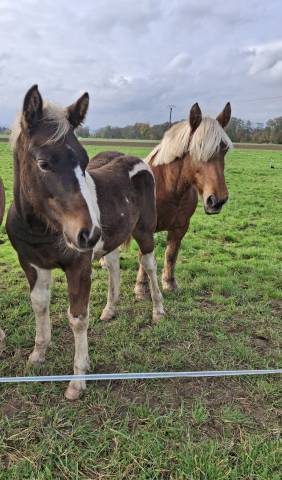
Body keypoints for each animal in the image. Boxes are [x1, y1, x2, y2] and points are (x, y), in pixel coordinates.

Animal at [6, 87, 164, 402]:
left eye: (84, 159)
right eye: (43, 163)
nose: (88, 233)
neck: (41, 227)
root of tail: (139, 161)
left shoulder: (78, 266)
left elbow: (78, 317)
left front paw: (78, 380)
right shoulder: (31, 263)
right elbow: (39, 305)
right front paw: (37, 354)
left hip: (144, 232)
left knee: (149, 264)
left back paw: (158, 311)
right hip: (111, 239)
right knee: (113, 266)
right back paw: (109, 310)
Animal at [94, 101, 231, 296]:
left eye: (225, 148)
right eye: (197, 148)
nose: (217, 200)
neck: (169, 188)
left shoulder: (180, 227)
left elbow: (171, 254)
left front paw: (169, 283)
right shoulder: (145, 229)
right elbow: (144, 258)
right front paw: (142, 288)